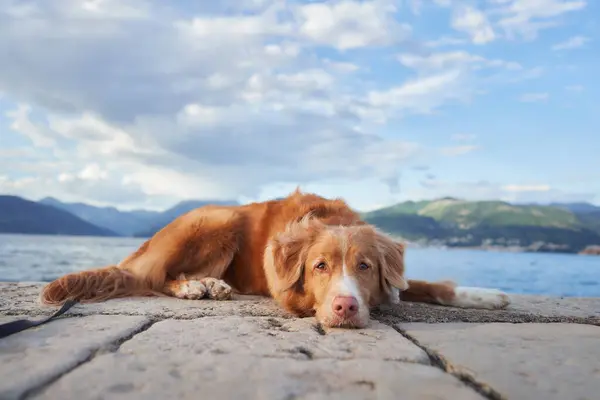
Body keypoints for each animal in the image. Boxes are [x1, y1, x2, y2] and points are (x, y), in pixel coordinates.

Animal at [41, 190, 510, 328]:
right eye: (319, 266)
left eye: (365, 267)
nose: (346, 308)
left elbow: (420, 285)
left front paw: (484, 296)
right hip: (219, 219)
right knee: (160, 277)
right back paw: (197, 285)